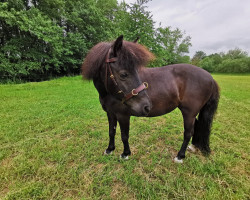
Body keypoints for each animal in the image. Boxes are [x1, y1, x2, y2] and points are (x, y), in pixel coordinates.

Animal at [82, 35, 219, 162]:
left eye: (134, 71)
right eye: (124, 74)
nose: (146, 106)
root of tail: (210, 78)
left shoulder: (123, 115)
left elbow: (124, 135)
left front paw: (125, 154)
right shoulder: (110, 113)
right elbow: (111, 132)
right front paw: (109, 149)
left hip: (189, 113)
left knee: (188, 133)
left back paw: (180, 156)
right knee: (197, 126)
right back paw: (193, 147)